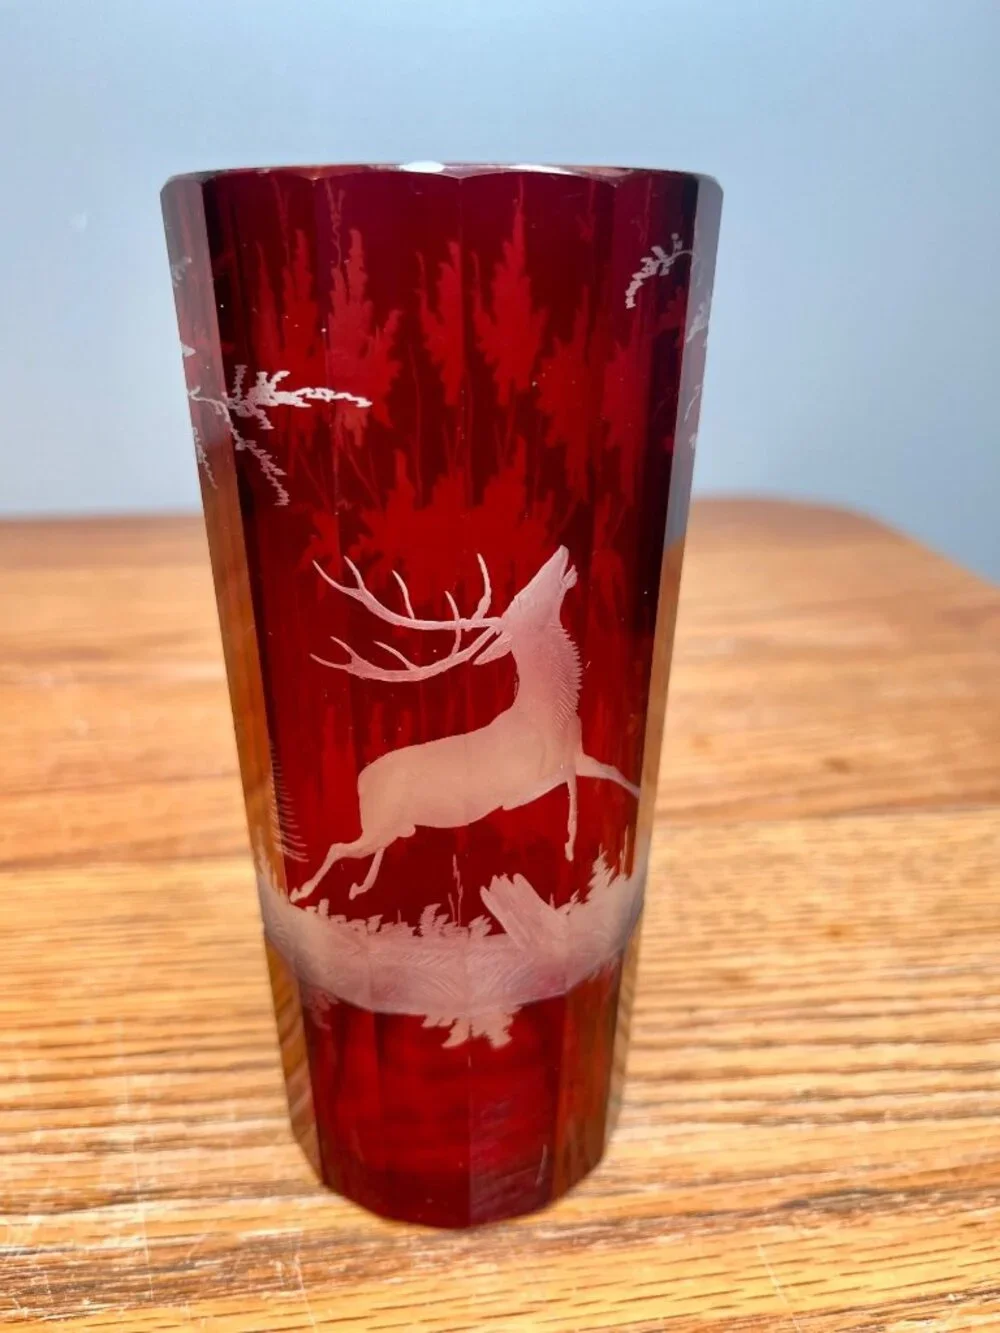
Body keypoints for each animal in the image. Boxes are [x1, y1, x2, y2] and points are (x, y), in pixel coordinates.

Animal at [290, 547, 639, 903]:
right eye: (523, 601)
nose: (562, 551)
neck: (552, 713)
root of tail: (361, 781)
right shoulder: (519, 790)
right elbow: (570, 786)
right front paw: (570, 846)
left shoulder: (579, 755)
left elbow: (611, 772)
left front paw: (632, 800)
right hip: (378, 824)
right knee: (337, 847)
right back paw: (303, 891)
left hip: (390, 827)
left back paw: (360, 887)